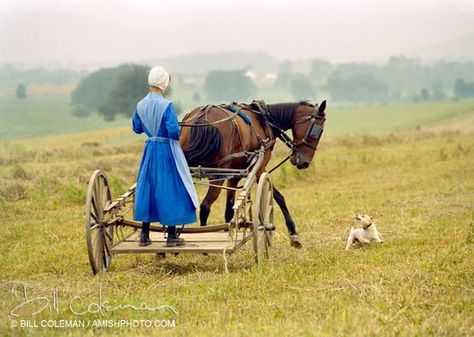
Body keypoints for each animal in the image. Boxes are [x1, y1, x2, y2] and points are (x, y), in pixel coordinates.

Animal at [180, 100, 328, 247]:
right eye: (318, 131)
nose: (304, 163)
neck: (264, 120)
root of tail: (203, 117)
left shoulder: (233, 175)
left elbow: (229, 209)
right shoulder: (259, 169)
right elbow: (279, 197)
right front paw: (293, 233)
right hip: (217, 176)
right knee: (205, 207)